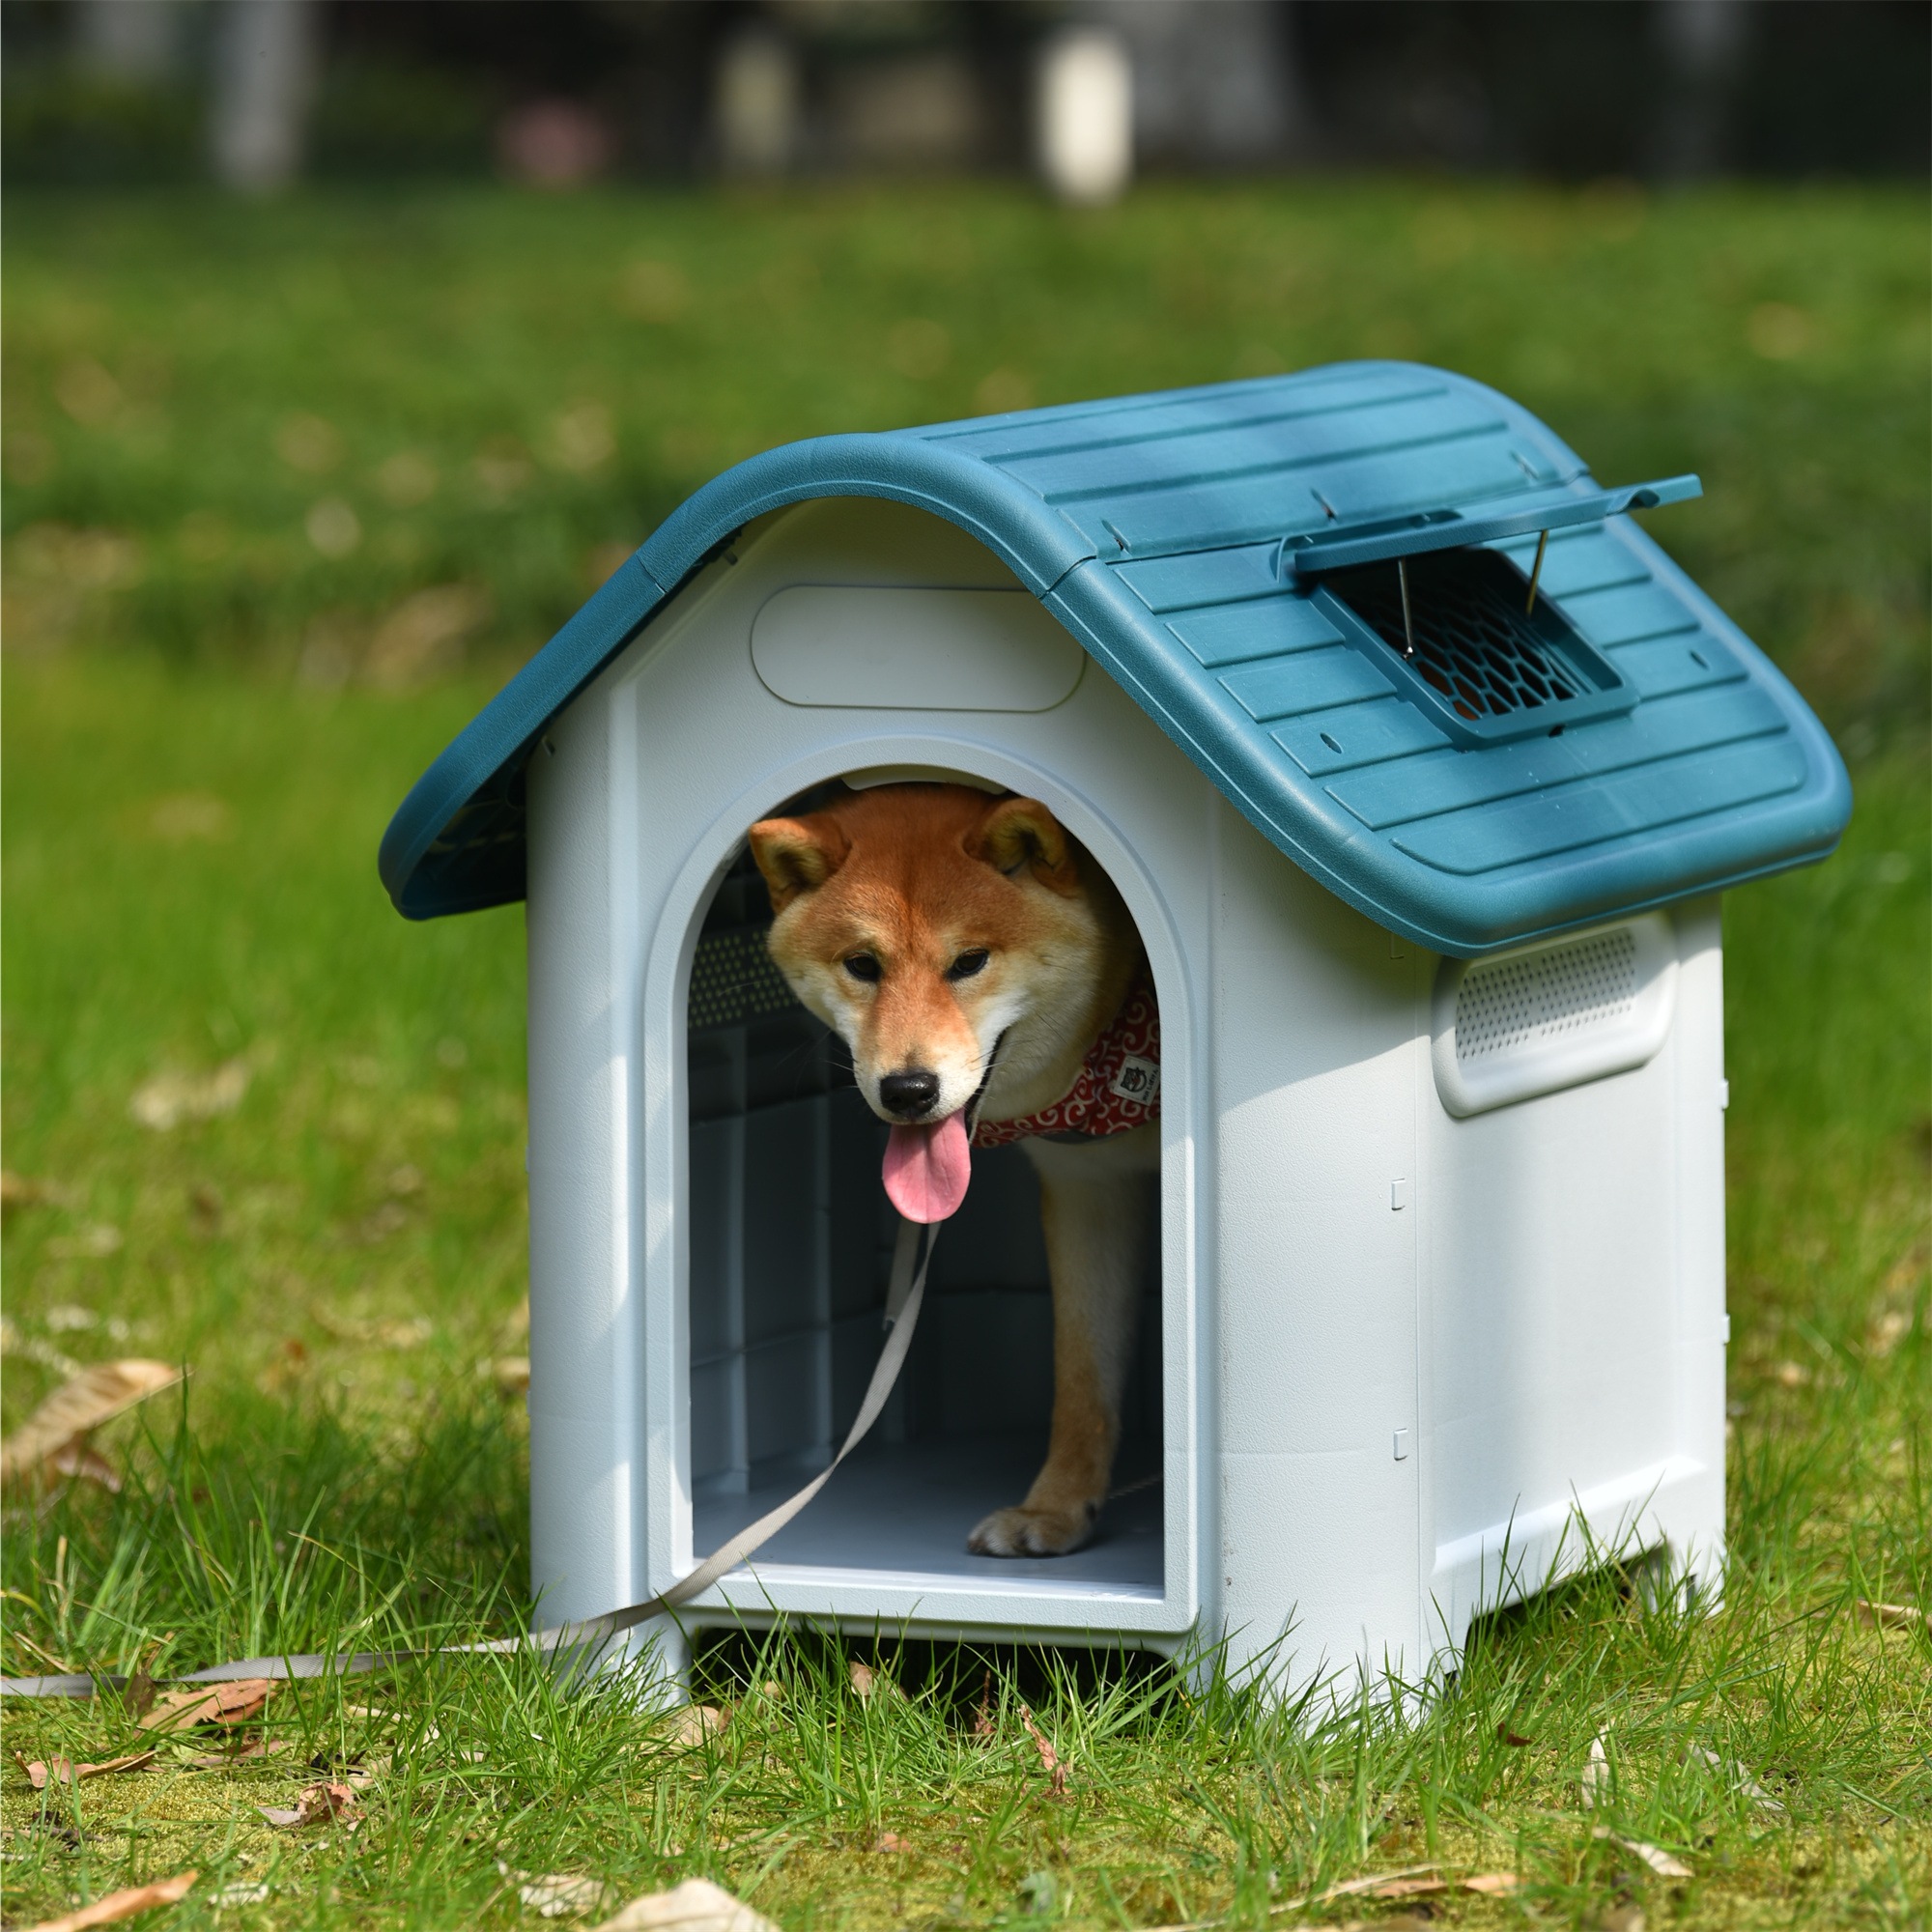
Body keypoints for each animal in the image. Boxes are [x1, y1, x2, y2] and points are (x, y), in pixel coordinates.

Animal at [746, 781, 1151, 1553]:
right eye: (863, 965)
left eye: (968, 962)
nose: (909, 1090)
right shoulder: (1085, 1187)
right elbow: (1082, 1377)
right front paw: (1058, 1511)